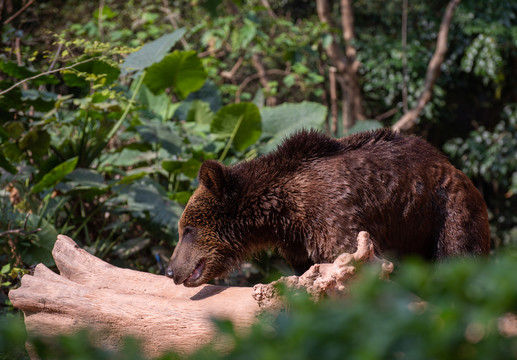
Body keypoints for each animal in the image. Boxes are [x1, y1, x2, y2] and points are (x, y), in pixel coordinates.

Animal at [165, 129, 488, 286]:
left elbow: (351, 256)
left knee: (459, 255)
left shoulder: (334, 215)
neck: (283, 212)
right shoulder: (296, 241)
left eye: (187, 229)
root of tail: (455, 167)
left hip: (446, 210)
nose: (170, 270)